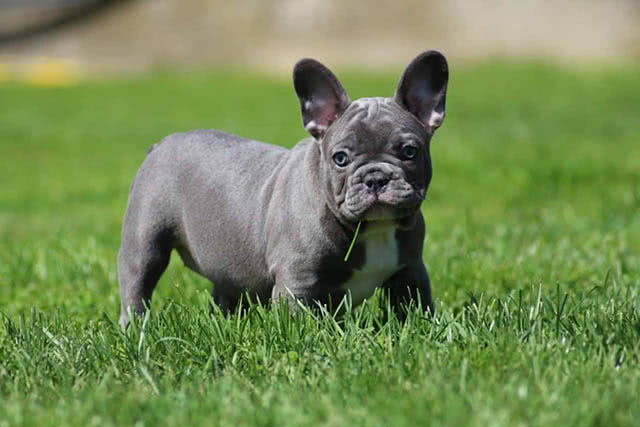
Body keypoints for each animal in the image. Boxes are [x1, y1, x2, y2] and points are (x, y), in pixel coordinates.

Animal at [120, 50, 450, 326]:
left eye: (409, 152)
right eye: (340, 158)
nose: (376, 178)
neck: (372, 230)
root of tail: (161, 144)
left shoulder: (410, 272)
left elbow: (414, 305)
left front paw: (420, 328)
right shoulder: (298, 282)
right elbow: (302, 322)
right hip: (145, 241)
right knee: (137, 282)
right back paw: (136, 328)